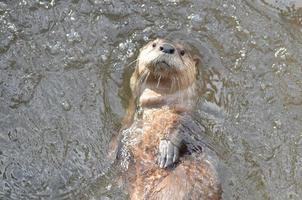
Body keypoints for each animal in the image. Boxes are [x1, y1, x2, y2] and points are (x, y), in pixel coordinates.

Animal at [109, 38, 221, 200]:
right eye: (154, 44)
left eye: (182, 52)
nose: (167, 47)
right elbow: (121, 133)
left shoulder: (185, 115)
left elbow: (178, 126)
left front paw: (167, 148)